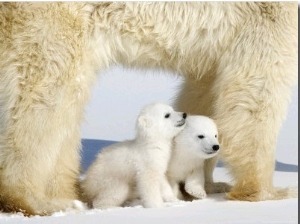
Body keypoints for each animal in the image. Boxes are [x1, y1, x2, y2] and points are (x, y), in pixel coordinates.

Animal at [0, 1, 298, 215]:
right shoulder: (265, 13)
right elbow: (257, 85)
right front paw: (270, 192)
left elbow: (205, 90)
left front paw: (210, 183)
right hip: (52, 18)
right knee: (48, 90)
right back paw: (36, 201)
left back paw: (66, 196)